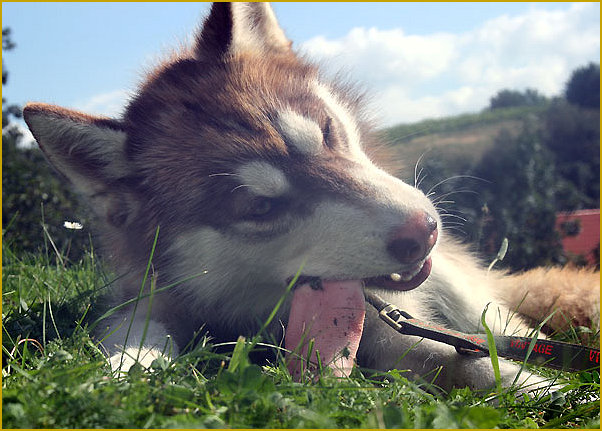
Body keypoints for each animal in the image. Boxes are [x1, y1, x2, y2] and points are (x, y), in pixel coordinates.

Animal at [22, 3, 596, 394]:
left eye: (324, 131)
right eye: (261, 207)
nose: (421, 231)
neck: (254, 309)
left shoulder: (392, 328)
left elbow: (478, 363)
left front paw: (553, 393)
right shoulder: (148, 298)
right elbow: (131, 335)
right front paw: (121, 370)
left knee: (501, 328)